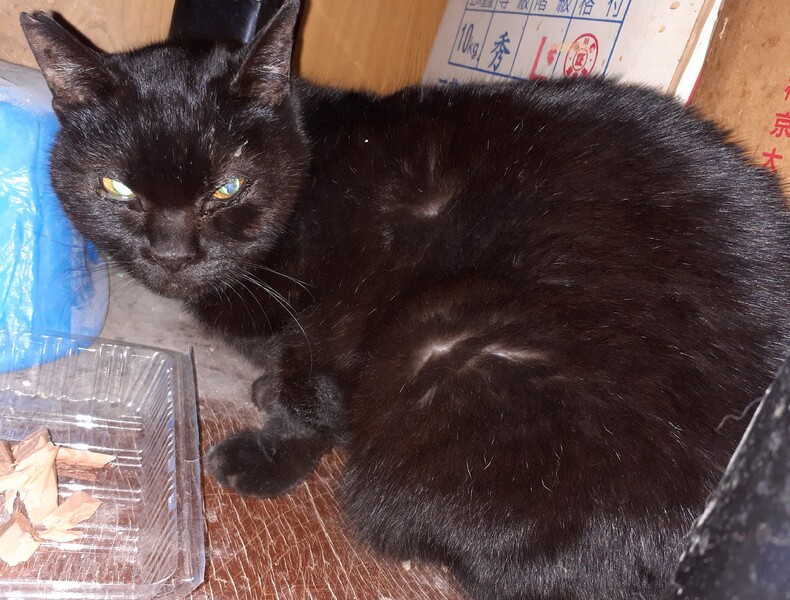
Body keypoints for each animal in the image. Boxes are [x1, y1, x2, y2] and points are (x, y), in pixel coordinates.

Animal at [20, 2, 790, 598]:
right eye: (117, 188)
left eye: (227, 188)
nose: (173, 253)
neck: (312, 168)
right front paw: (267, 390)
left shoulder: (344, 307)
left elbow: (312, 392)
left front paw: (269, 455)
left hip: (447, 340)